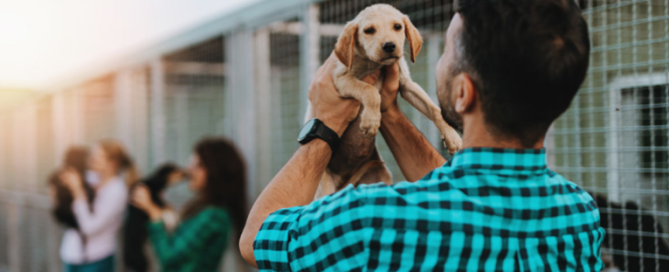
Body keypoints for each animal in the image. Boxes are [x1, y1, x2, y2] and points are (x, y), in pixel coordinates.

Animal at [306, 3, 460, 200]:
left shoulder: (406, 84)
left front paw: (451, 136)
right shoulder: (341, 79)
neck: (376, 65)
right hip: (324, 187)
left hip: (380, 176)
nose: (389, 45)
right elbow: (371, 91)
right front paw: (371, 120)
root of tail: (343, 182)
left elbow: (434, 109)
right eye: (369, 30)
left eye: (398, 27)